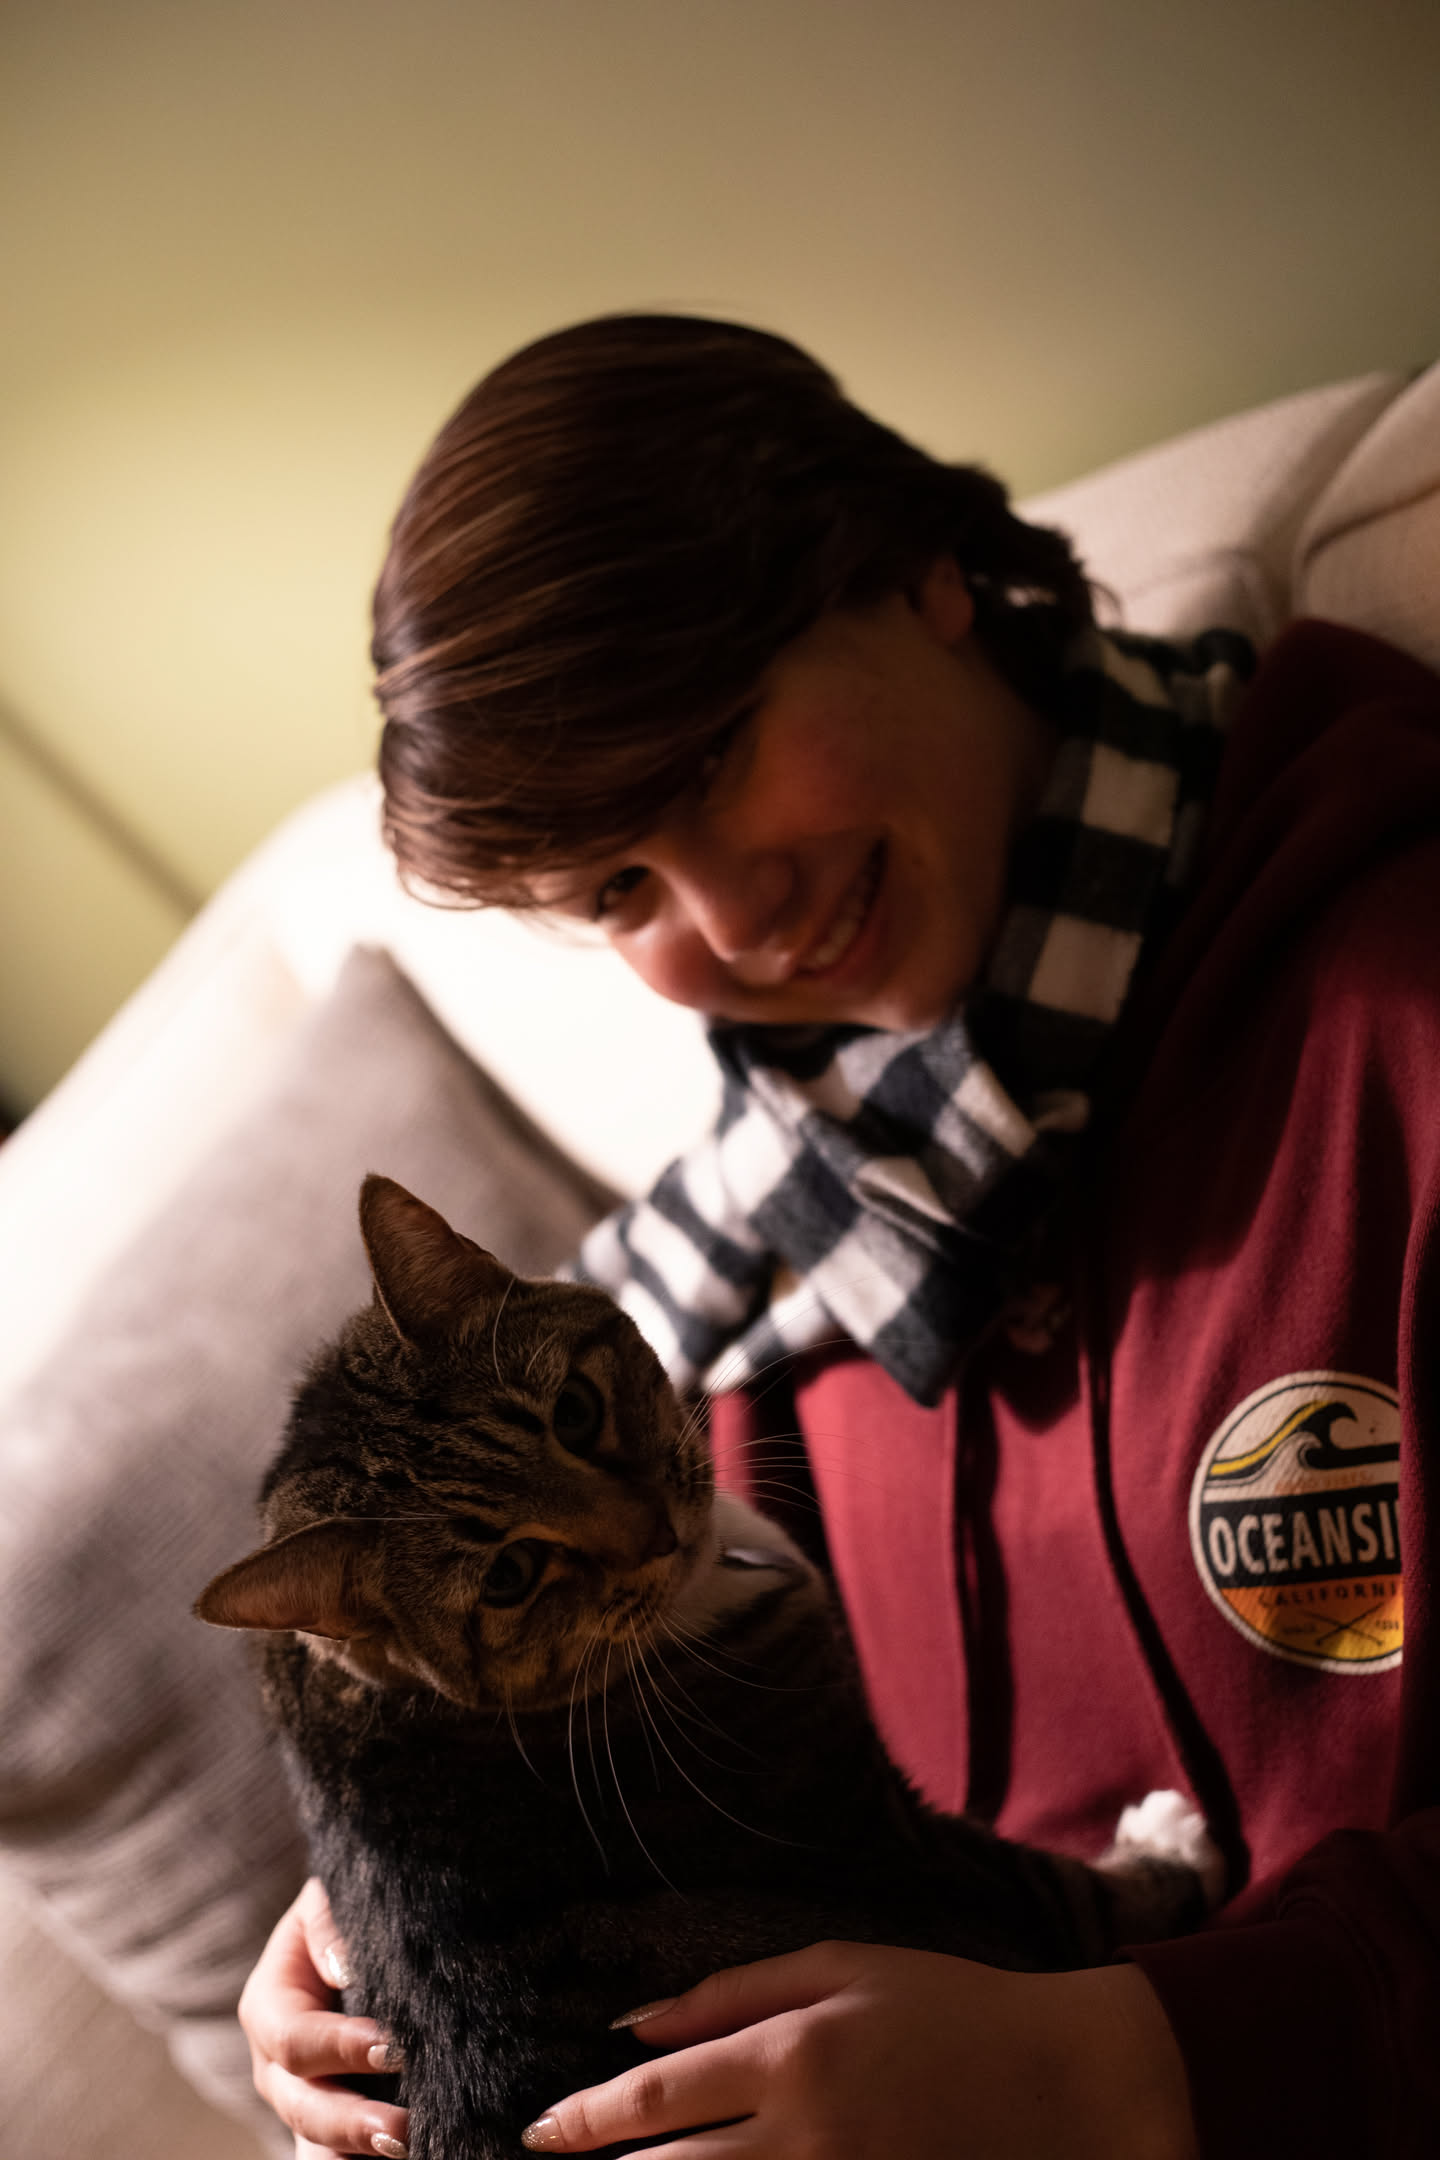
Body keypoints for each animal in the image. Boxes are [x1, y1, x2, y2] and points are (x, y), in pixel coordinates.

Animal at [196, 1174, 1219, 2160]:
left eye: (575, 1412)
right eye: (510, 1575)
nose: (656, 1533)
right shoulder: (880, 1838)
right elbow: (1072, 1896)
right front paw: (1171, 1845)